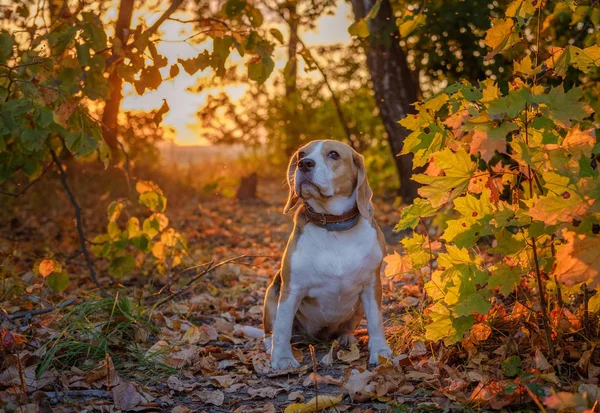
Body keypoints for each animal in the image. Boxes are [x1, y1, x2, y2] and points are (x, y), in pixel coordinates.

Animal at [264, 139, 394, 370]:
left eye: (333, 154)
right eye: (301, 154)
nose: (304, 164)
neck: (334, 225)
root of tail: (317, 338)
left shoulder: (372, 285)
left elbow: (376, 322)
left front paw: (380, 351)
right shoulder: (291, 290)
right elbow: (282, 327)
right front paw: (282, 358)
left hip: (358, 307)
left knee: (346, 328)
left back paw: (346, 338)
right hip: (271, 294)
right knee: (271, 330)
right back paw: (270, 345)